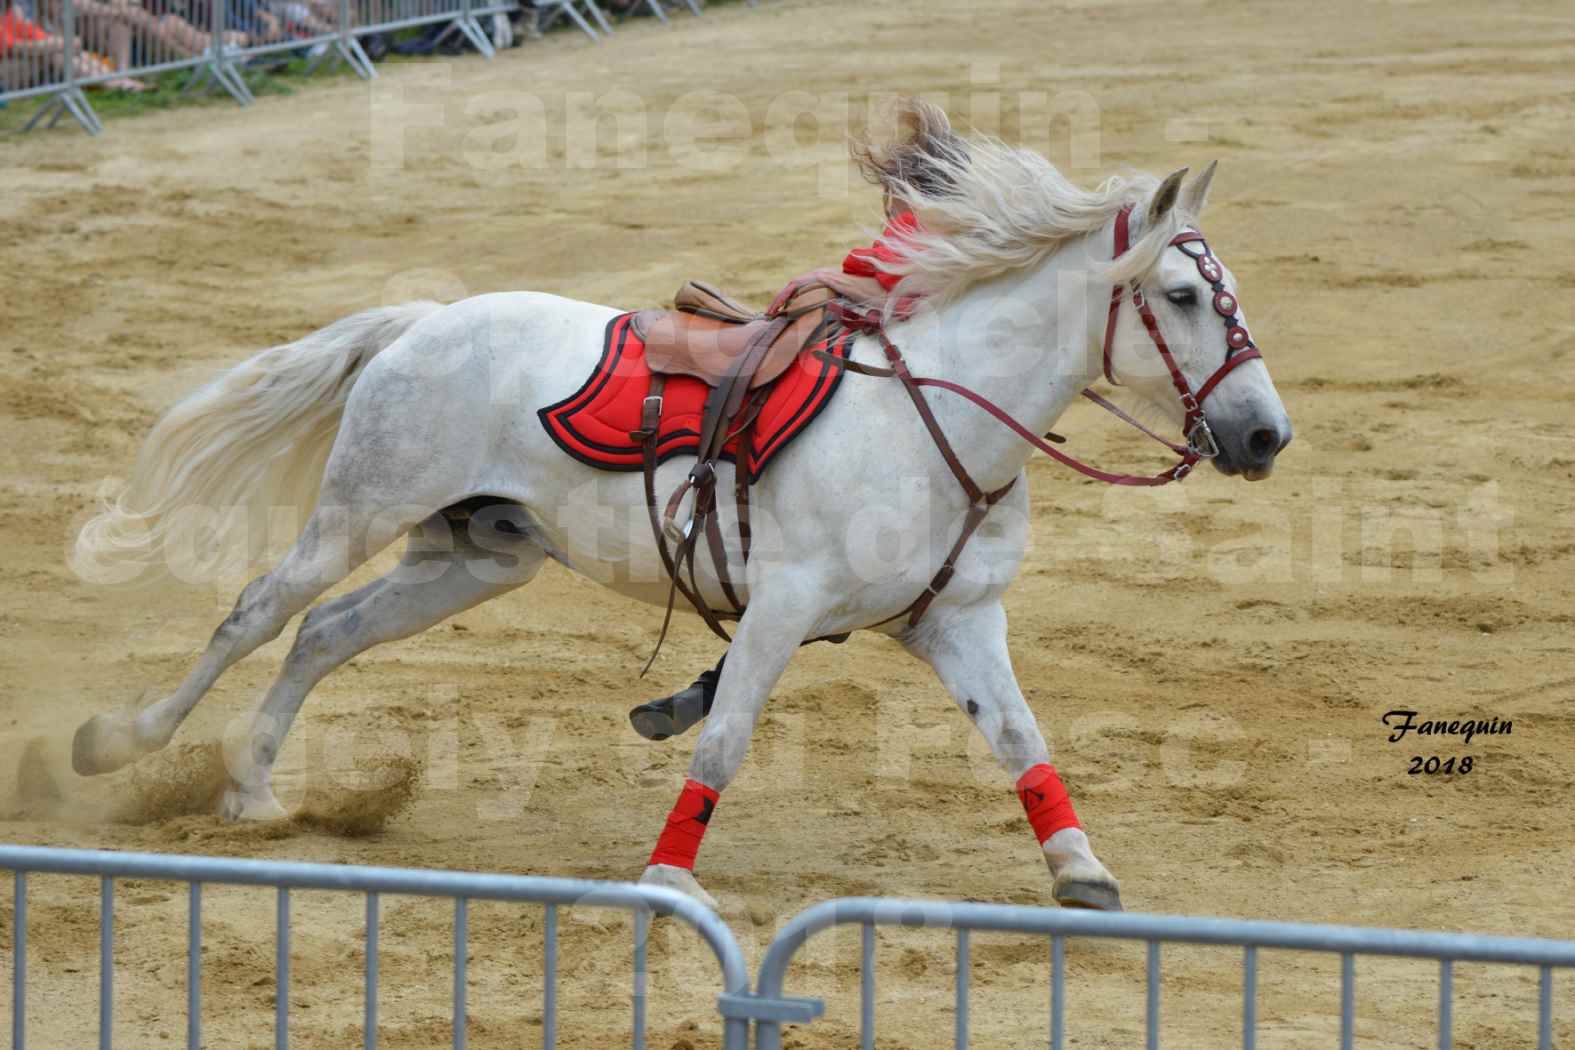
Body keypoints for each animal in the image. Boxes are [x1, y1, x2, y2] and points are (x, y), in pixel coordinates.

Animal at [67, 102, 1285, 913]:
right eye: (1181, 295)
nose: (1265, 435)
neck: (934, 416)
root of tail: (425, 320)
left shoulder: (956, 620)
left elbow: (1020, 735)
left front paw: (1080, 868)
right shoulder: (782, 609)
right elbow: (725, 740)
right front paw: (666, 878)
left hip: (472, 556)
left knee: (324, 634)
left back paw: (254, 793)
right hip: (357, 514)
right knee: (259, 613)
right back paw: (121, 743)